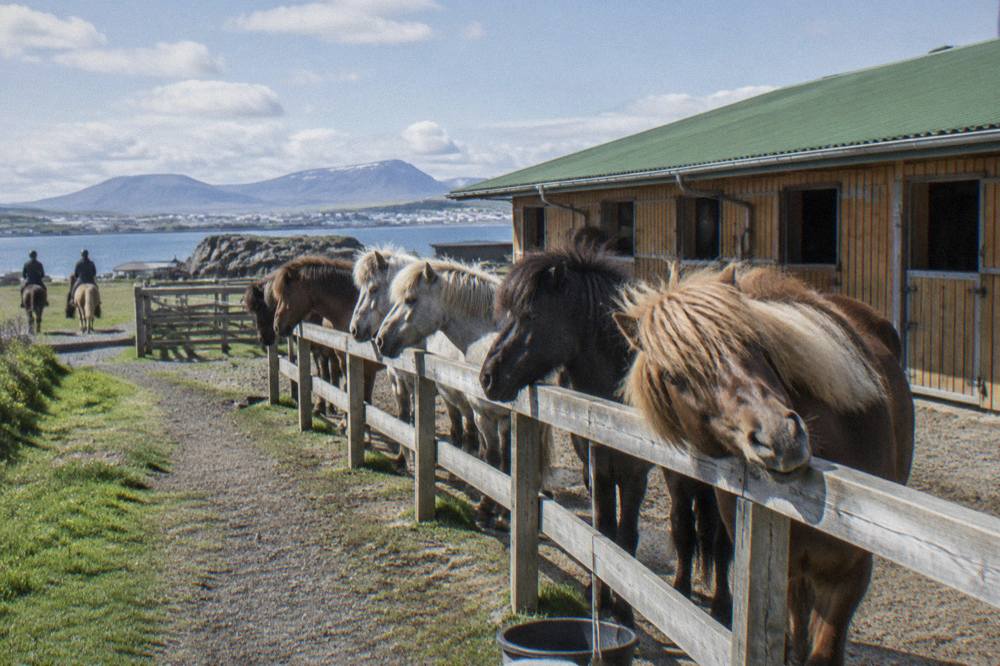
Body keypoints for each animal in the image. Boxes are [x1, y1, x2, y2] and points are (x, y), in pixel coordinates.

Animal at [478, 245, 731, 627]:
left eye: (530, 315)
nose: (487, 378)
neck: (608, 402)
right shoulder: (596, 468)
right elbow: (604, 531)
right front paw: (598, 596)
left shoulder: (632, 474)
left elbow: (625, 537)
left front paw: (623, 609)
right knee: (683, 525)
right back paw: (682, 588)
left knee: (719, 540)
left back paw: (720, 606)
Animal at [614, 264, 914, 665]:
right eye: (677, 378)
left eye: (755, 343)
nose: (780, 437)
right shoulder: (780, 575)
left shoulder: (849, 576)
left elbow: (823, 652)